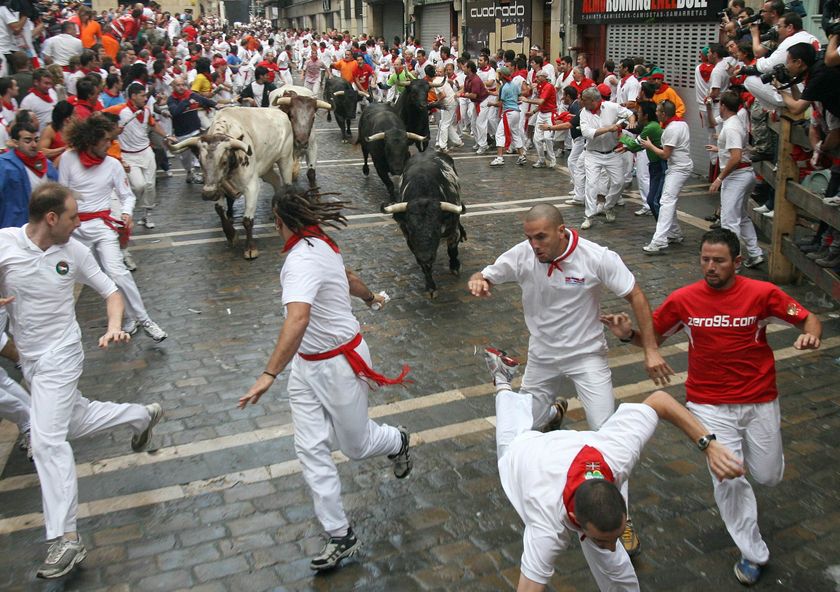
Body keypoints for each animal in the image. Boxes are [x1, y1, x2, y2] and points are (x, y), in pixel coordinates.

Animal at [169, 108, 296, 260]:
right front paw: (231, 235)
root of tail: (280, 112)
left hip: (285, 160)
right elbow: (220, 210)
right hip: (266, 168)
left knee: (286, 183)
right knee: (276, 180)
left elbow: (247, 220)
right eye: (200, 160)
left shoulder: (252, 186)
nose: (208, 194)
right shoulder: (218, 186)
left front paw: (250, 248)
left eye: (224, 161)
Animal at [382, 148, 466, 296]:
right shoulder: (410, 240)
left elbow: (452, 250)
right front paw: (430, 287)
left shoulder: (453, 230)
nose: (426, 256)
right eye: (410, 228)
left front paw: (455, 266)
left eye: (437, 228)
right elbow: (424, 266)